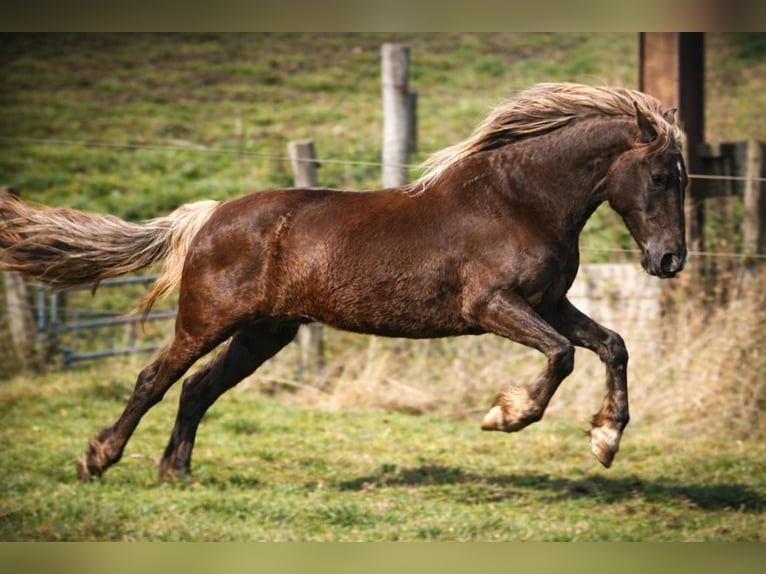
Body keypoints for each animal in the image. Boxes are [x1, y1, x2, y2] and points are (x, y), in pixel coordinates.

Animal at [0, 83, 688, 482]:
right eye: (660, 177)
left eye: (682, 176)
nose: (669, 260)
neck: (518, 200)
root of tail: (209, 215)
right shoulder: (492, 304)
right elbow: (563, 354)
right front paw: (505, 415)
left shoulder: (552, 301)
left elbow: (612, 345)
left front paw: (604, 440)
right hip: (208, 319)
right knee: (155, 378)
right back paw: (98, 459)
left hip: (266, 333)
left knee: (197, 388)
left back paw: (176, 475)